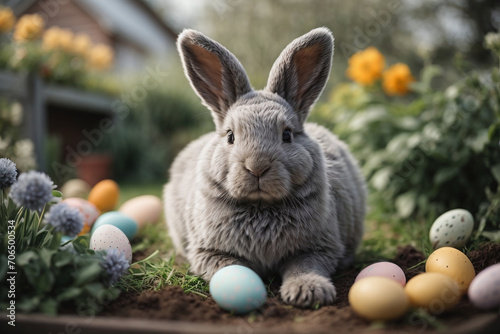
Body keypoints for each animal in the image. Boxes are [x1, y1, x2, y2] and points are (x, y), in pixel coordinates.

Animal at [166, 27, 366, 306]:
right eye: (230, 136)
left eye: (287, 135)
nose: (257, 167)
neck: (260, 206)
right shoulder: (210, 252)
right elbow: (230, 268)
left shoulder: (317, 249)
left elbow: (304, 266)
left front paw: (308, 292)